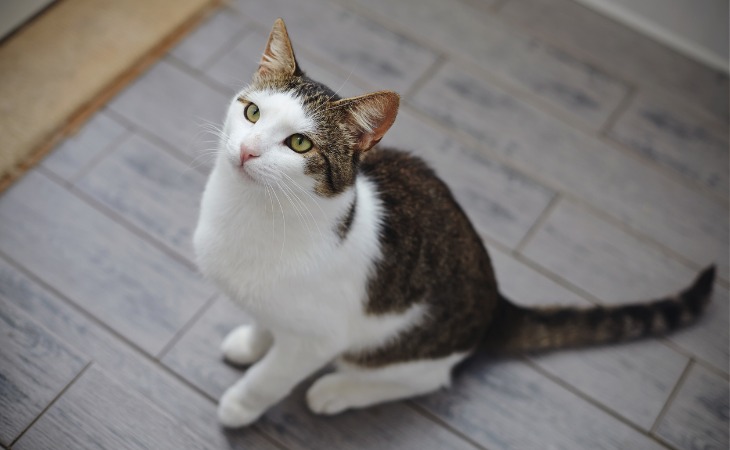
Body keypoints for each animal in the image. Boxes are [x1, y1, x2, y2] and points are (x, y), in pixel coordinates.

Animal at [192, 16, 712, 426]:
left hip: (396, 344)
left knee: (429, 376)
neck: (252, 213)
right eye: (252, 112)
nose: (246, 150)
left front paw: (240, 404)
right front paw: (253, 340)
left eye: (300, 144)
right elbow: (267, 322)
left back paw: (338, 391)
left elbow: (273, 375)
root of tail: (496, 303)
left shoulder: (318, 337)